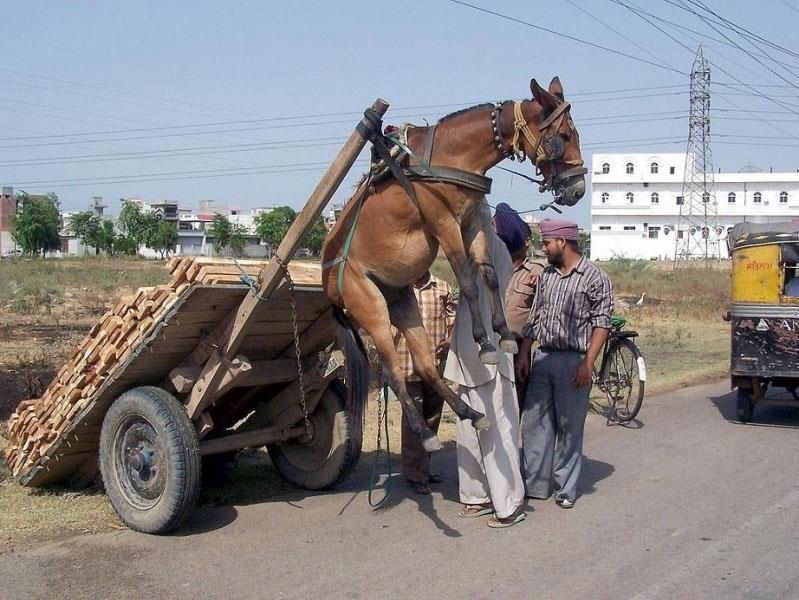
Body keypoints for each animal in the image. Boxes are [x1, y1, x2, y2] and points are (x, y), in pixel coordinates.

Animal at [320, 76, 588, 450]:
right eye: (561, 136)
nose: (577, 188)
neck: (451, 156)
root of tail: (329, 284)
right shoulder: (443, 223)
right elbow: (468, 280)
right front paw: (485, 344)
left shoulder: (472, 220)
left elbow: (489, 275)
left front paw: (504, 333)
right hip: (370, 309)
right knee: (392, 372)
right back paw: (424, 433)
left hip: (401, 302)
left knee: (425, 365)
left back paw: (471, 414)